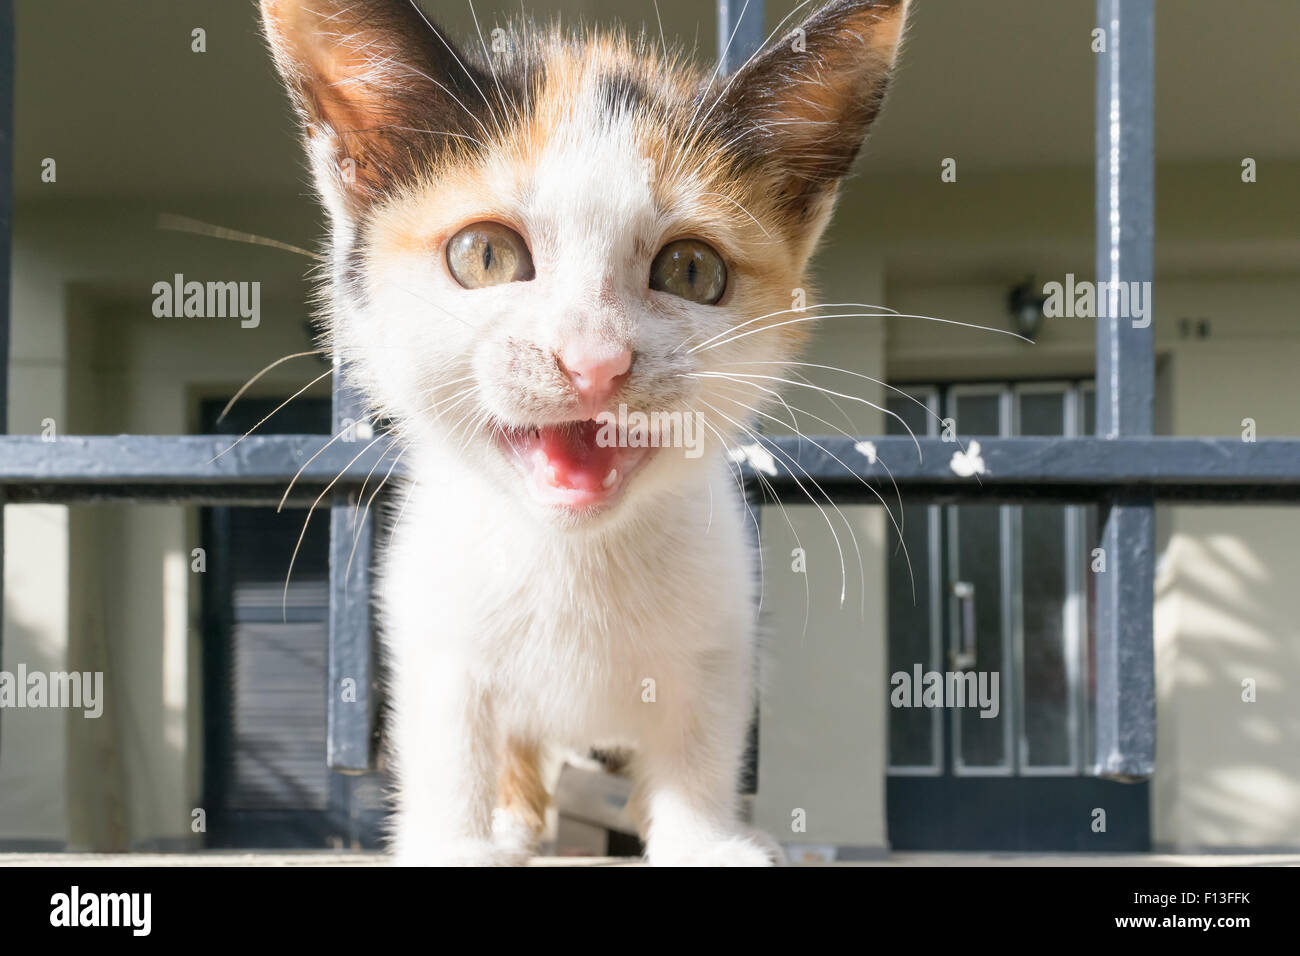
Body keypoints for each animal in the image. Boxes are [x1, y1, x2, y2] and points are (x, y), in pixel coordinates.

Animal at [258, 0, 909, 868]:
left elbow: (702, 739)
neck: (574, 552)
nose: (593, 360)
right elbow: (449, 734)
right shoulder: (430, 618)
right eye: (485, 255)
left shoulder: (723, 625)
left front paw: (704, 841)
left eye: (693, 271)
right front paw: (459, 841)